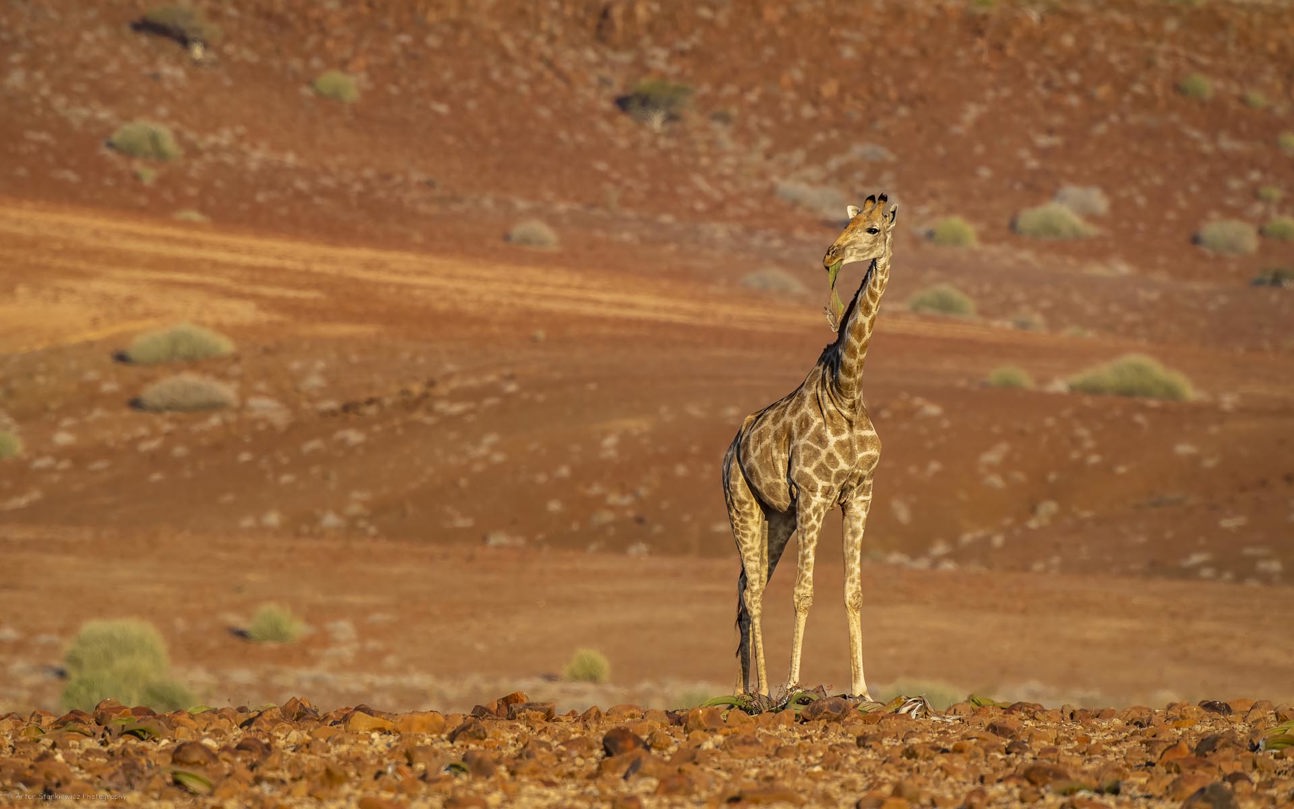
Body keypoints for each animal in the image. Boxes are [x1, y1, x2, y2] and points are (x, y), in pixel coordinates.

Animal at [722, 193, 898, 700]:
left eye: (873, 228)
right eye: (847, 223)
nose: (830, 254)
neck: (846, 392)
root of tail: (731, 448)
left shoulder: (858, 494)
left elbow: (853, 592)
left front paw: (862, 689)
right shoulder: (815, 494)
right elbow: (803, 593)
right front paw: (794, 684)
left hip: (777, 517)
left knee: (746, 585)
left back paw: (745, 689)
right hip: (741, 503)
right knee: (753, 590)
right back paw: (763, 690)